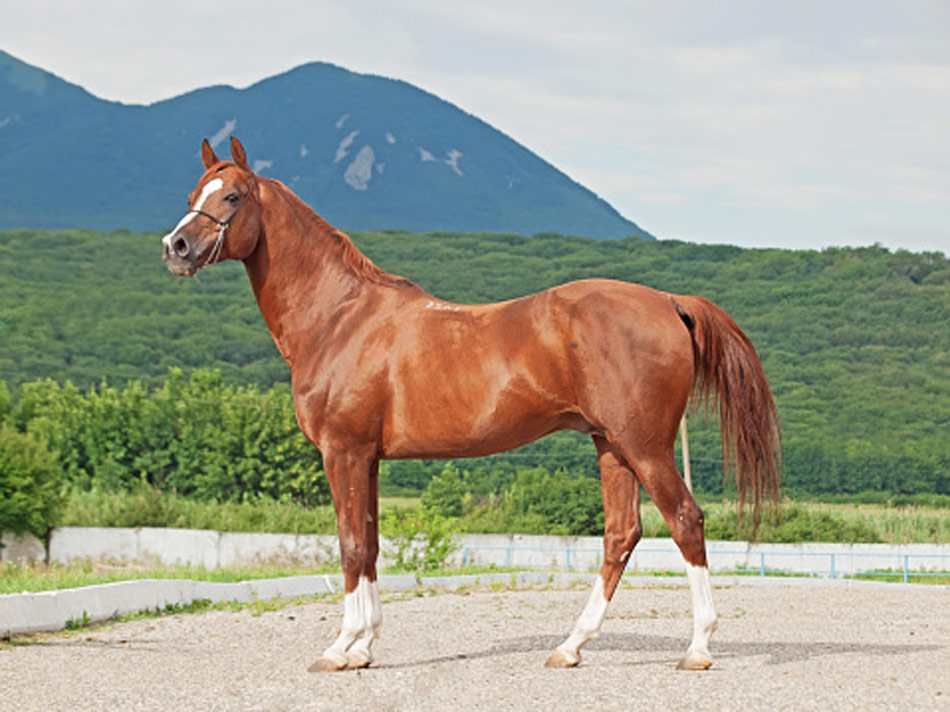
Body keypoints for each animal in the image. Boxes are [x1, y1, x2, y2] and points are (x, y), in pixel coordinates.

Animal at [162, 137, 781, 672]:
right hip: (612, 446)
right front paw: (365, 646)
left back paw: (697, 648)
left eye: (232, 196)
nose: (176, 248)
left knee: (685, 521)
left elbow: (351, 545)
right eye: (191, 194)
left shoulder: (343, 452)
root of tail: (669, 301)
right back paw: (570, 647)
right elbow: (372, 544)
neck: (340, 318)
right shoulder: (369, 460)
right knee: (621, 535)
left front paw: (341, 648)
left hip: (645, 446)